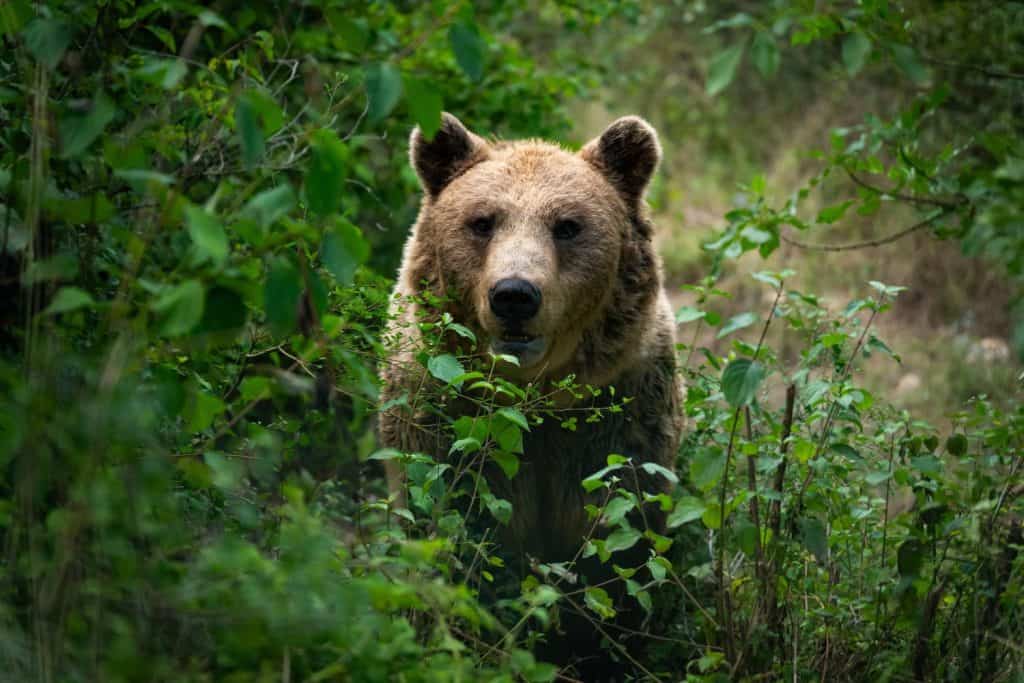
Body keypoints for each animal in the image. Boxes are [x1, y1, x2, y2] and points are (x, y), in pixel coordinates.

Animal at [378, 113, 683, 675]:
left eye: (567, 225)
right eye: (482, 221)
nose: (515, 295)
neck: (533, 397)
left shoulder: (617, 415)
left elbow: (616, 548)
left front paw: (601, 649)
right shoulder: (445, 417)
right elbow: (460, 533)